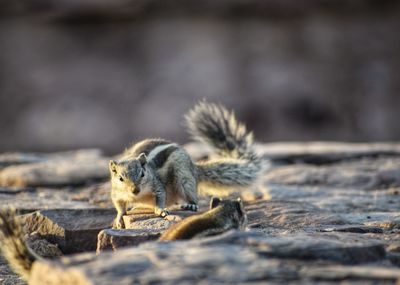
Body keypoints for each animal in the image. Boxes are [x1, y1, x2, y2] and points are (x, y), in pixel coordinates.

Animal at [109, 101, 266, 227]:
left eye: (142, 174)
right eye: (120, 178)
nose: (135, 190)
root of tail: (194, 167)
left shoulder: (156, 185)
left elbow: (161, 196)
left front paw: (160, 209)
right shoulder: (116, 193)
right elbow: (119, 206)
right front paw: (119, 218)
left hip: (183, 177)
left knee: (192, 196)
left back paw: (190, 204)